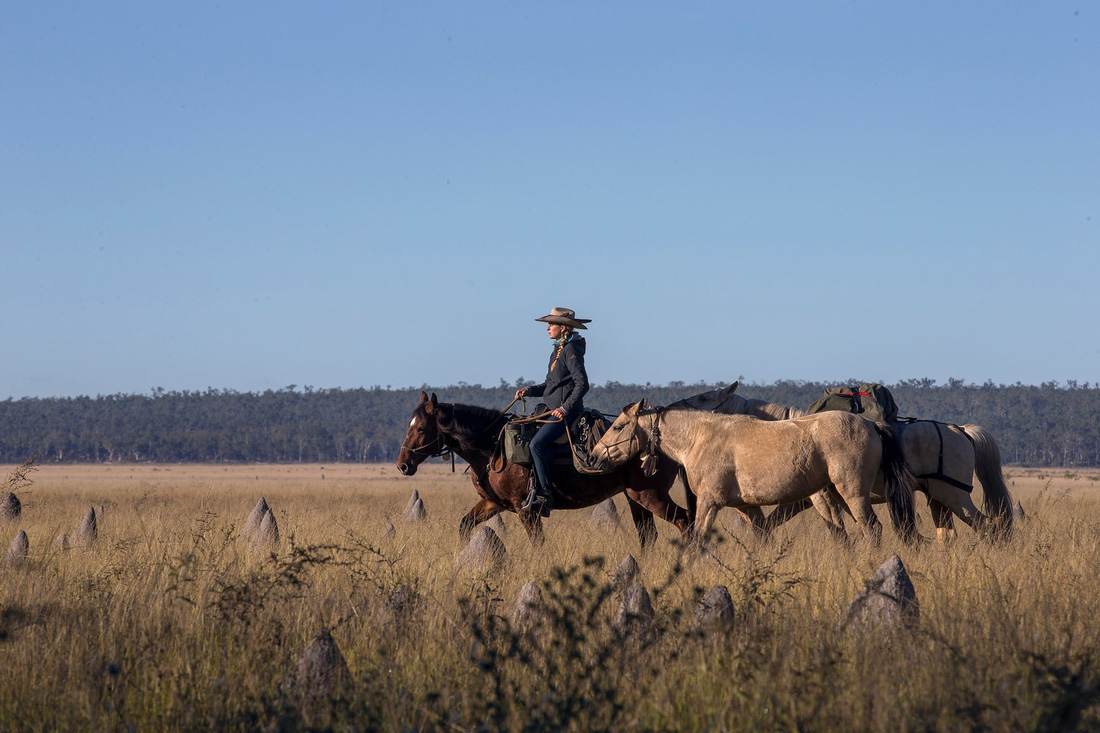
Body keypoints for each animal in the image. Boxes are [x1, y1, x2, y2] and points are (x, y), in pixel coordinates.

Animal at [396, 394, 690, 541]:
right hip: (635, 498)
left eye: (421, 428)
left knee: (684, 521)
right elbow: (465, 525)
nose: (403, 465)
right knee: (649, 536)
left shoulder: (526, 510)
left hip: (650, 496)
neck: (493, 449)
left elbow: (537, 542)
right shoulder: (493, 504)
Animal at [594, 400, 919, 548]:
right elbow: (762, 541)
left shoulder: (709, 503)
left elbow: (697, 540)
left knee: (872, 529)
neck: (700, 437)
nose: (595, 456)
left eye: (619, 426)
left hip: (852, 494)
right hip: (838, 496)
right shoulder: (748, 507)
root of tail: (872, 425)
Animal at [682, 383, 1016, 537]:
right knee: (948, 535)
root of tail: (961, 430)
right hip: (938, 500)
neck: (795, 432)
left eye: (704, 398)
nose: (677, 405)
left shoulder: (816, 497)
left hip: (954, 495)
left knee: (990, 527)